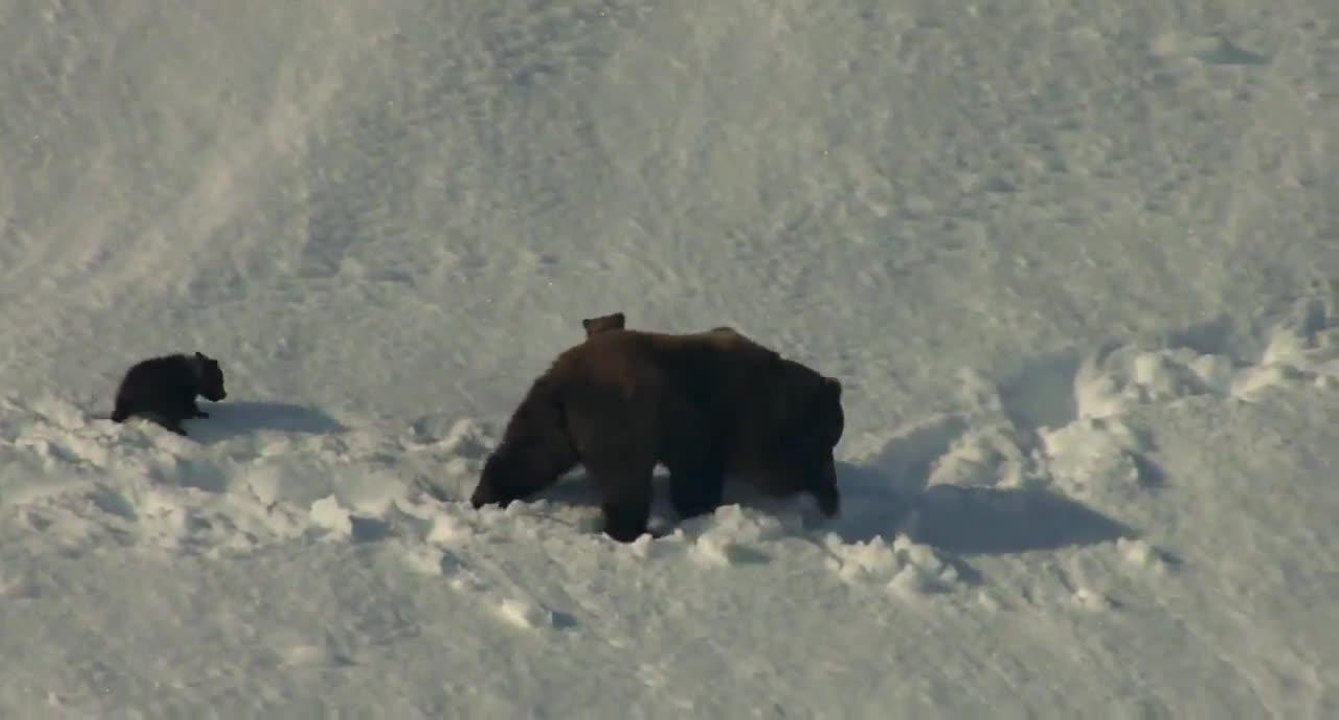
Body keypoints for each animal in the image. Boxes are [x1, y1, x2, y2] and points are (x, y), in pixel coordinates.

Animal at [469, 328, 844, 543]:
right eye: (830, 433)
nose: (832, 496)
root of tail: (563, 382)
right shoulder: (712, 422)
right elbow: (702, 477)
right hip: (621, 418)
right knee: (626, 485)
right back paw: (641, 530)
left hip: (550, 419)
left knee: (526, 458)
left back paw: (485, 496)